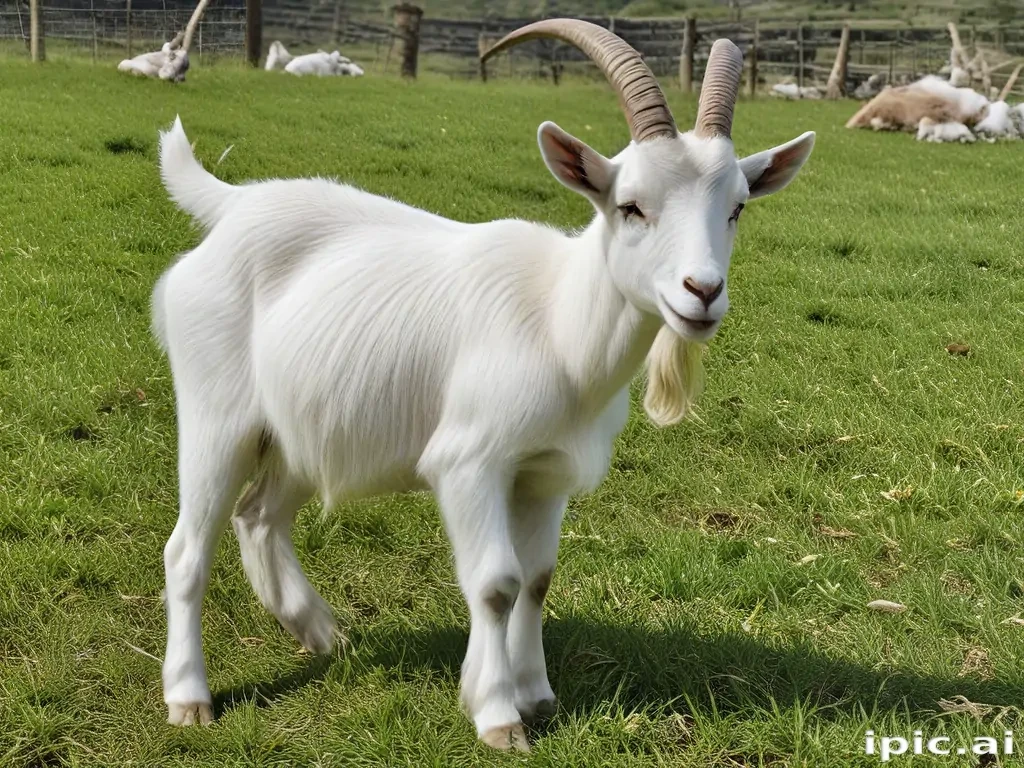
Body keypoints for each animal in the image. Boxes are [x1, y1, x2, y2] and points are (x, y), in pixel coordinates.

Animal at [153, 20, 814, 752]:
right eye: (631, 206)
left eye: (737, 209)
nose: (702, 292)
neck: (558, 321)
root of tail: (233, 205)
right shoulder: (470, 462)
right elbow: (497, 581)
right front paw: (498, 714)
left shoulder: (545, 473)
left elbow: (538, 579)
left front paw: (536, 694)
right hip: (217, 413)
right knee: (188, 549)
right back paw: (190, 697)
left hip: (302, 425)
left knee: (260, 518)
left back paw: (324, 634)